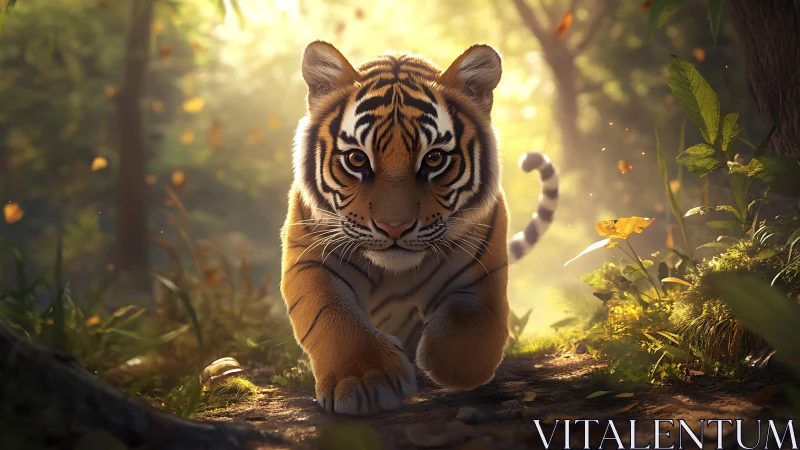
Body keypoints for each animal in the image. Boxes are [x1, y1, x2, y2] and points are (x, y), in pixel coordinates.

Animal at [280, 41, 559, 416]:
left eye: (434, 159)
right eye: (357, 159)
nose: (394, 227)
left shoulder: (481, 273)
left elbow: (473, 324)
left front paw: (451, 363)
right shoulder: (311, 259)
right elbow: (332, 316)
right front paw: (366, 381)